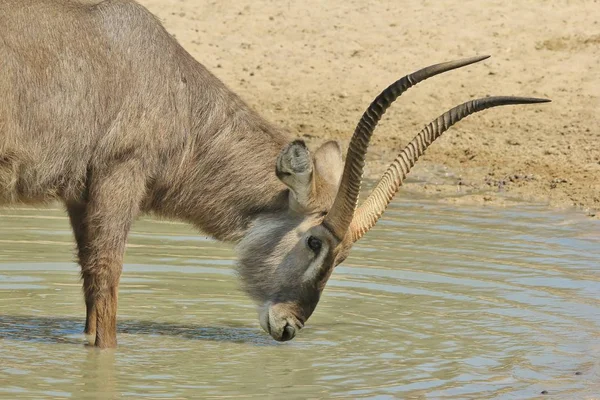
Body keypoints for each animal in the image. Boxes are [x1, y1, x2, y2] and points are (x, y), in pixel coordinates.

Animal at [1, 0, 552, 346]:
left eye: (344, 257)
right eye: (315, 242)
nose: (289, 326)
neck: (170, 82)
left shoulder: (81, 196)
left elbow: (90, 290)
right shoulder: (119, 177)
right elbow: (106, 282)